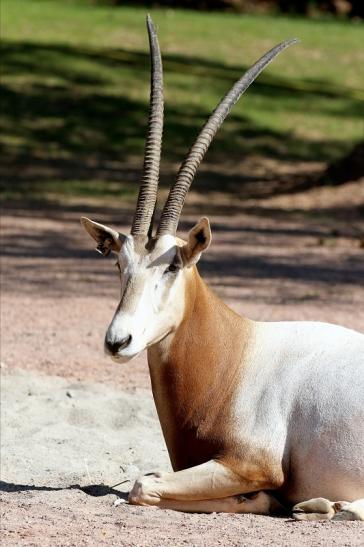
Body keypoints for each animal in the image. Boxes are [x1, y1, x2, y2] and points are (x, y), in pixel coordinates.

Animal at [82, 17, 364, 524]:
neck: (235, 354)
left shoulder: (252, 462)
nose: (118, 341)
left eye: (173, 264)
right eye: (118, 262)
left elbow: (141, 483)